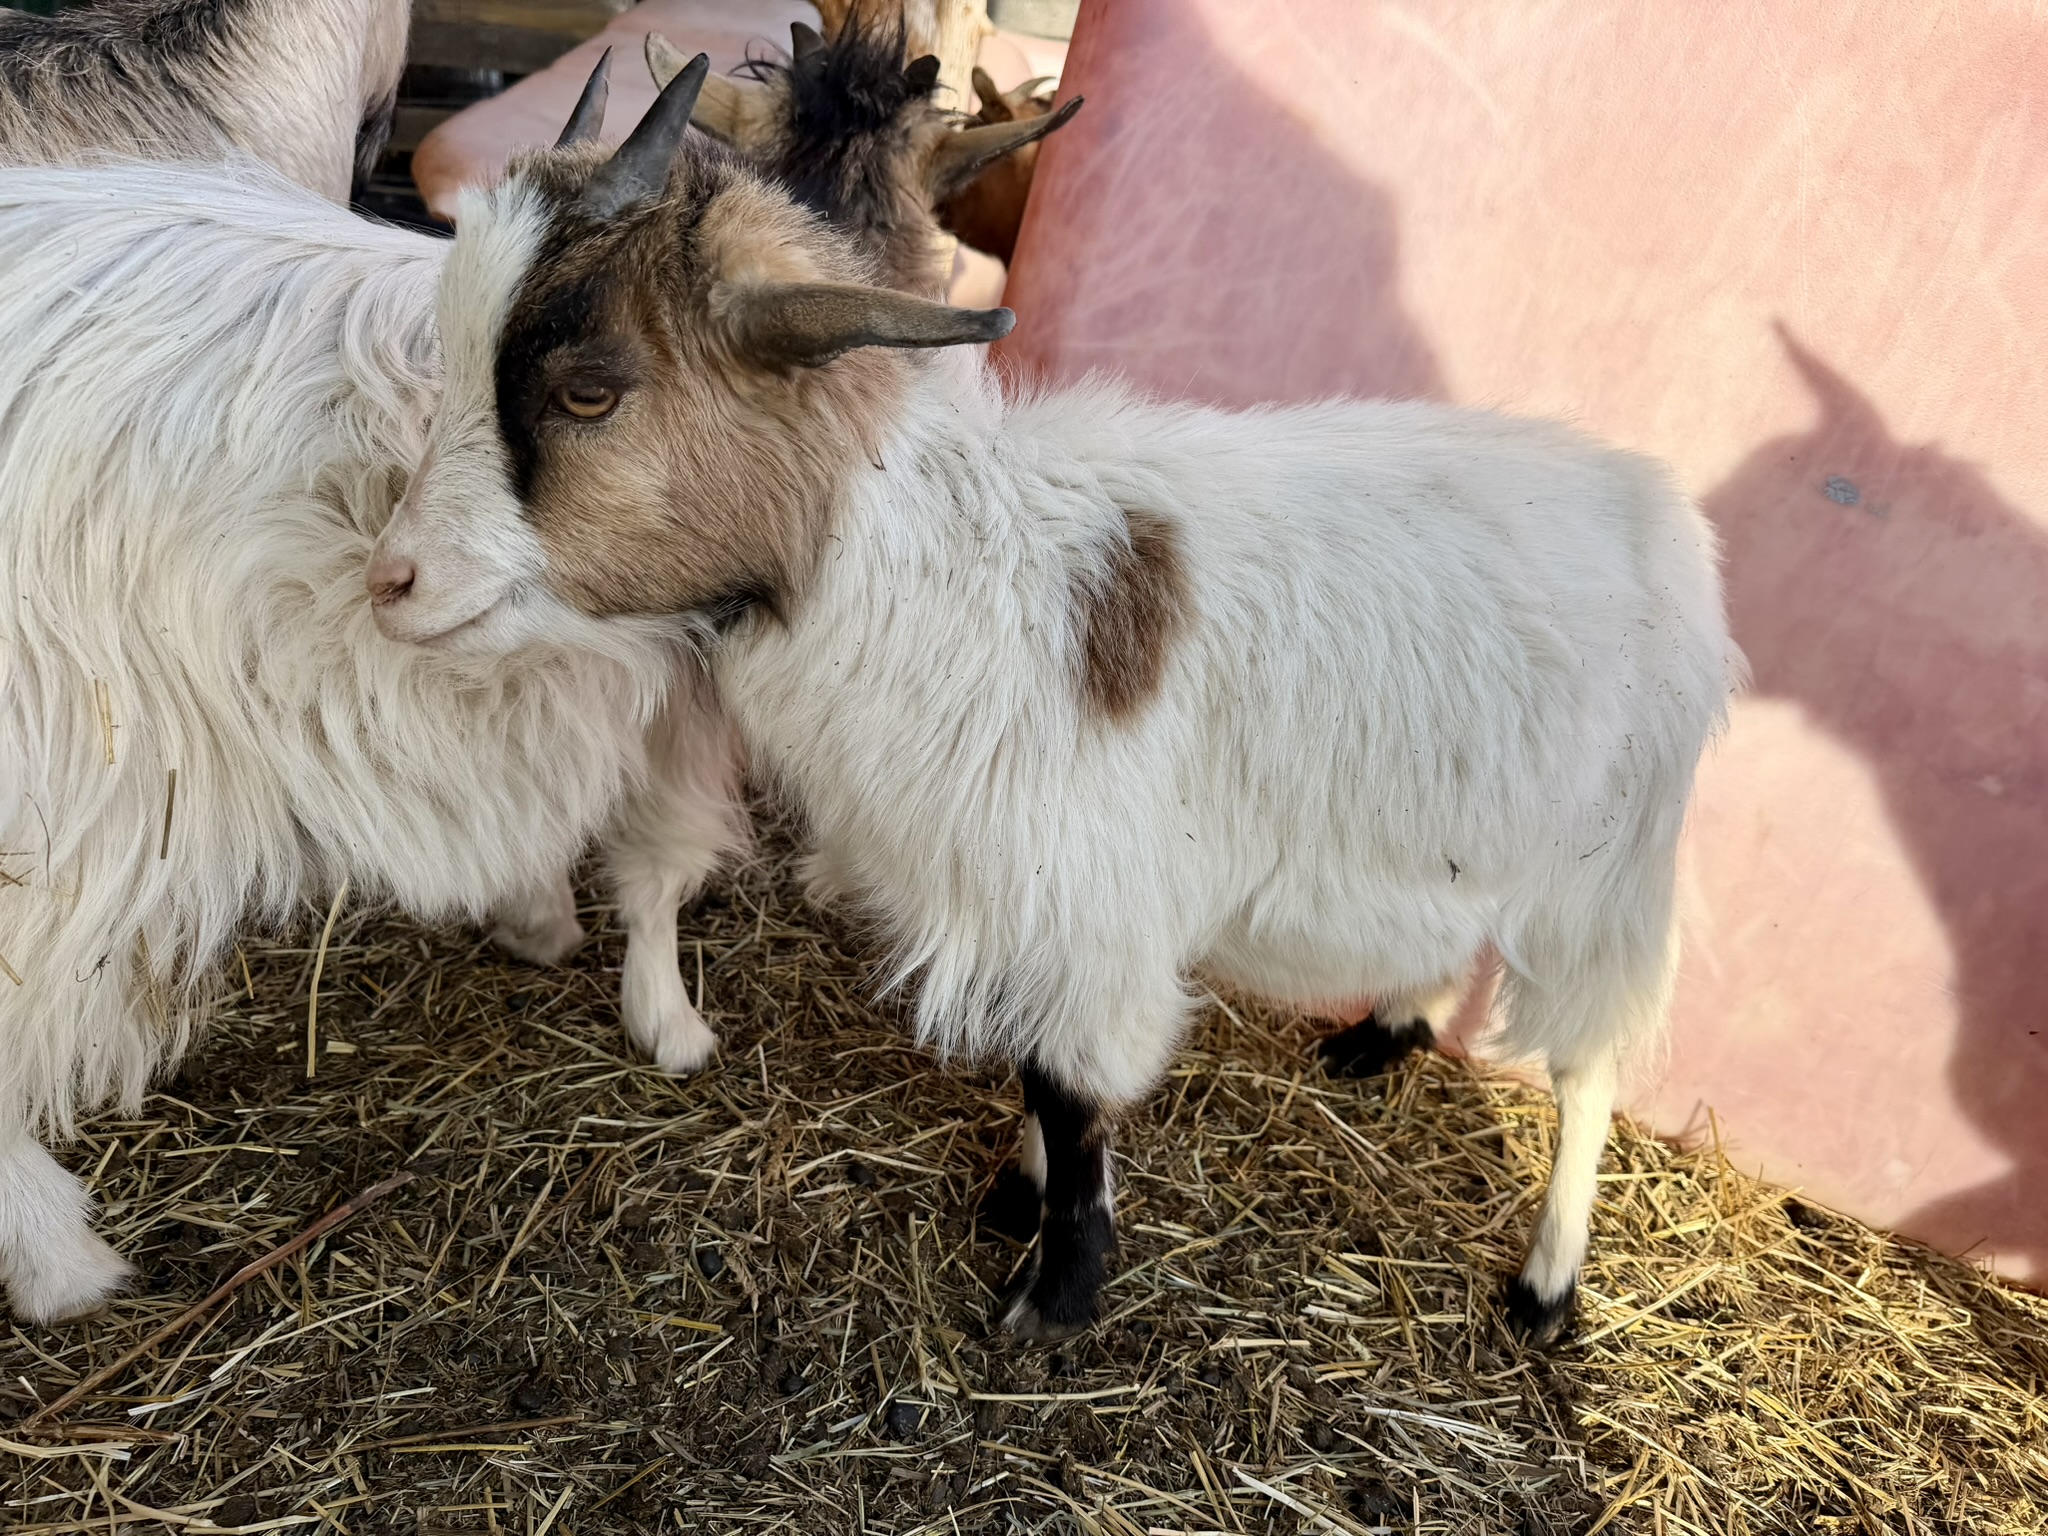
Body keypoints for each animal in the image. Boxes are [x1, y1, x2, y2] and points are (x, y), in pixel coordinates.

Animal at [372, 60, 1741, 1348]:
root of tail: (1657, 507)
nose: (388, 581)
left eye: (588, 391)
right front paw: (1020, 1199)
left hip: (1607, 867)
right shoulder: (1040, 902)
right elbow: (1040, 1076)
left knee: (1588, 1070)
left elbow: (1073, 1089)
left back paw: (1546, 1286)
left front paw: (1056, 1289)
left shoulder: (1090, 901)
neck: (948, 579)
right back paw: (1377, 1035)